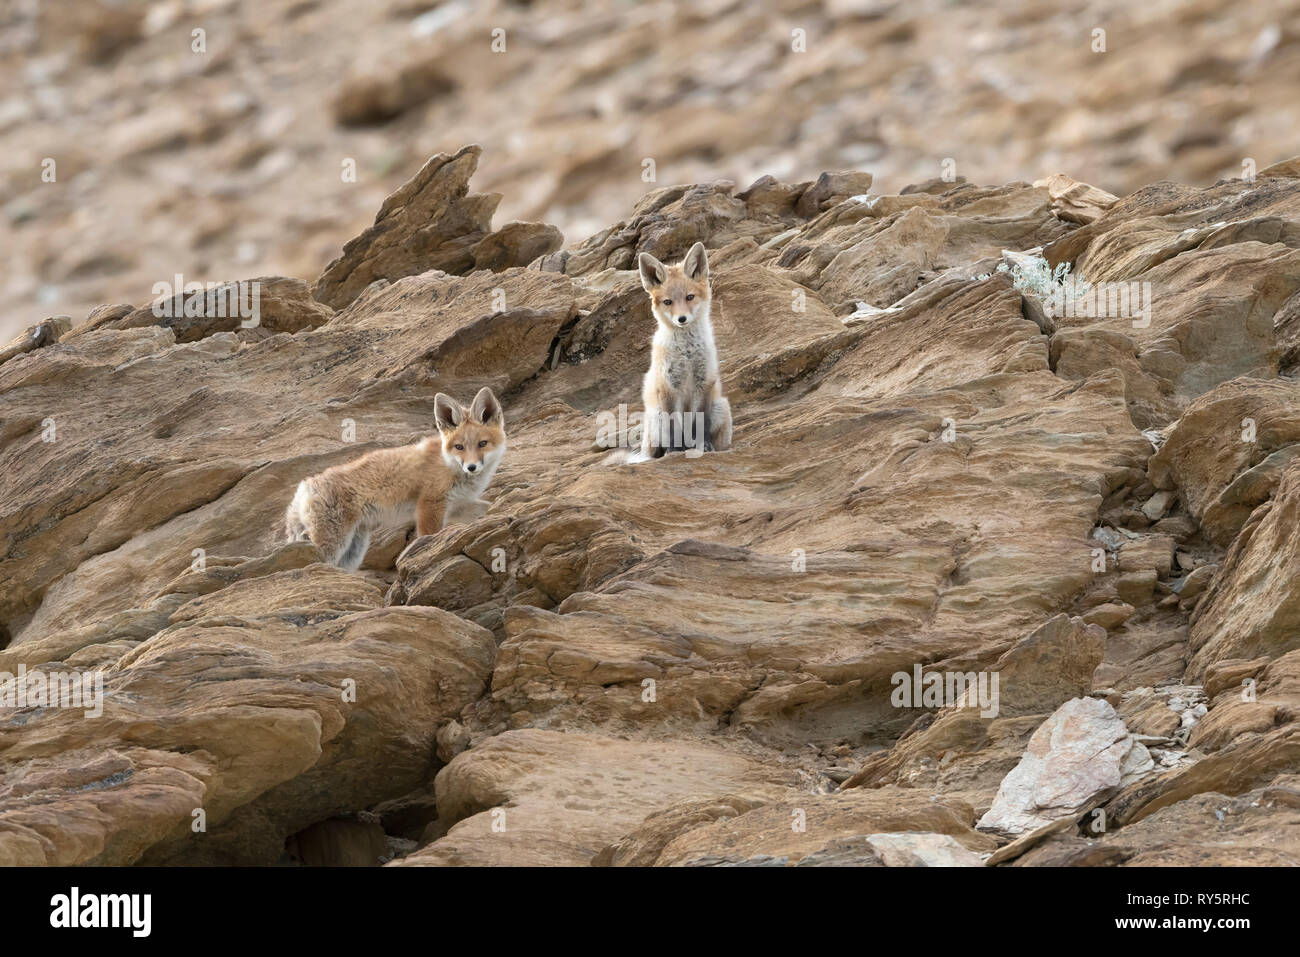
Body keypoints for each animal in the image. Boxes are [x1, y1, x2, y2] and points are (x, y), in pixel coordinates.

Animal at [286, 387, 506, 566]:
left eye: (482, 444)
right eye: (459, 447)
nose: (471, 467)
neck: (448, 463)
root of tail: (305, 485)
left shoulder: (458, 505)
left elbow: (487, 508)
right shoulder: (430, 504)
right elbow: (429, 535)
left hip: (354, 550)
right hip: (334, 543)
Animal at [637, 243, 733, 460]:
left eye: (690, 297)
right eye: (668, 302)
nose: (681, 319)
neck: (687, 353)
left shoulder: (704, 382)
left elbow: (701, 421)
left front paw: (703, 446)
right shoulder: (668, 386)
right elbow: (673, 425)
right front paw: (674, 450)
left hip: (721, 406)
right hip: (655, 419)